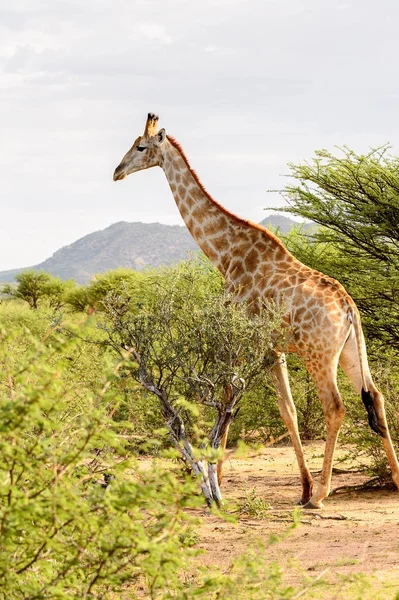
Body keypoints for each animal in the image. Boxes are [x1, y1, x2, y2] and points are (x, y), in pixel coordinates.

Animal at [112, 112, 399, 506]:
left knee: (336, 407)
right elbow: (287, 410)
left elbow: (228, 401)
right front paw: (301, 485)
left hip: (318, 355)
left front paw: (217, 481)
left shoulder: (237, 339)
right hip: (350, 352)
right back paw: (394, 479)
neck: (225, 253)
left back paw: (321, 494)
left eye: (140, 146)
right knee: (376, 396)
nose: (117, 171)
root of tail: (349, 308)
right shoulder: (272, 348)